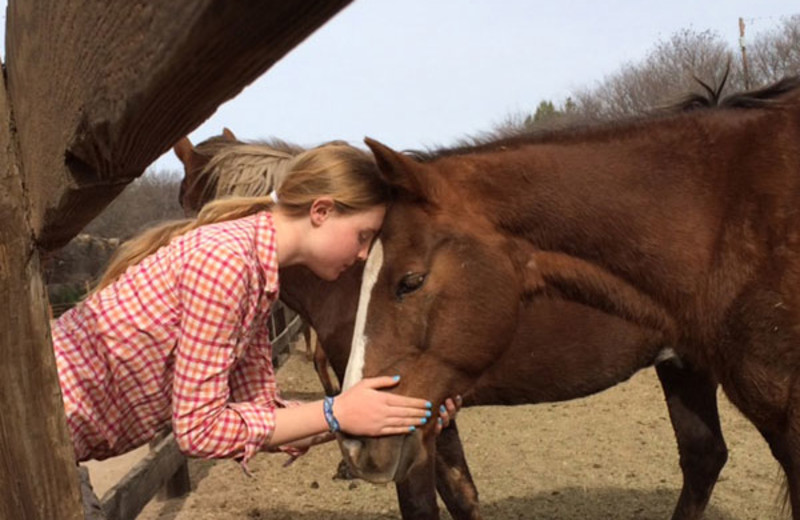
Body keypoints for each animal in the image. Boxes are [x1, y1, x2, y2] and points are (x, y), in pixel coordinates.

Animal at [177, 129, 736, 520]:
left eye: (185, 193)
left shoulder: (402, 417)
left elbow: (423, 503)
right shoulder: (429, 411)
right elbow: (461, 494)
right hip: (683, 366)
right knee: (704, 458)